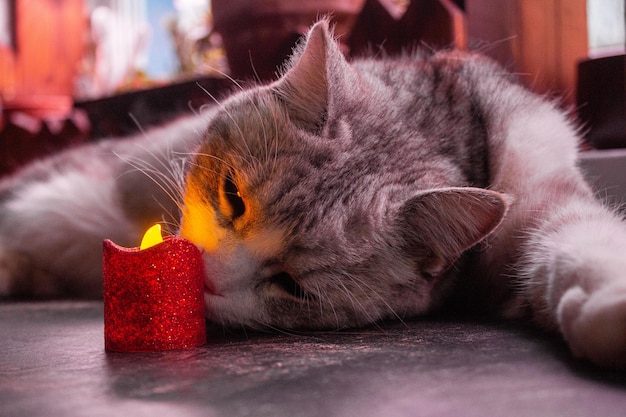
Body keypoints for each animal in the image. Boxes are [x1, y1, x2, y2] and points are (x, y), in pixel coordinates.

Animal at [1, 22, 624, 368]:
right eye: (233, 197)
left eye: (293, 287)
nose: (203, 277)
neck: (451, 125)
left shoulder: (541, 191)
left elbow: (576, 237)